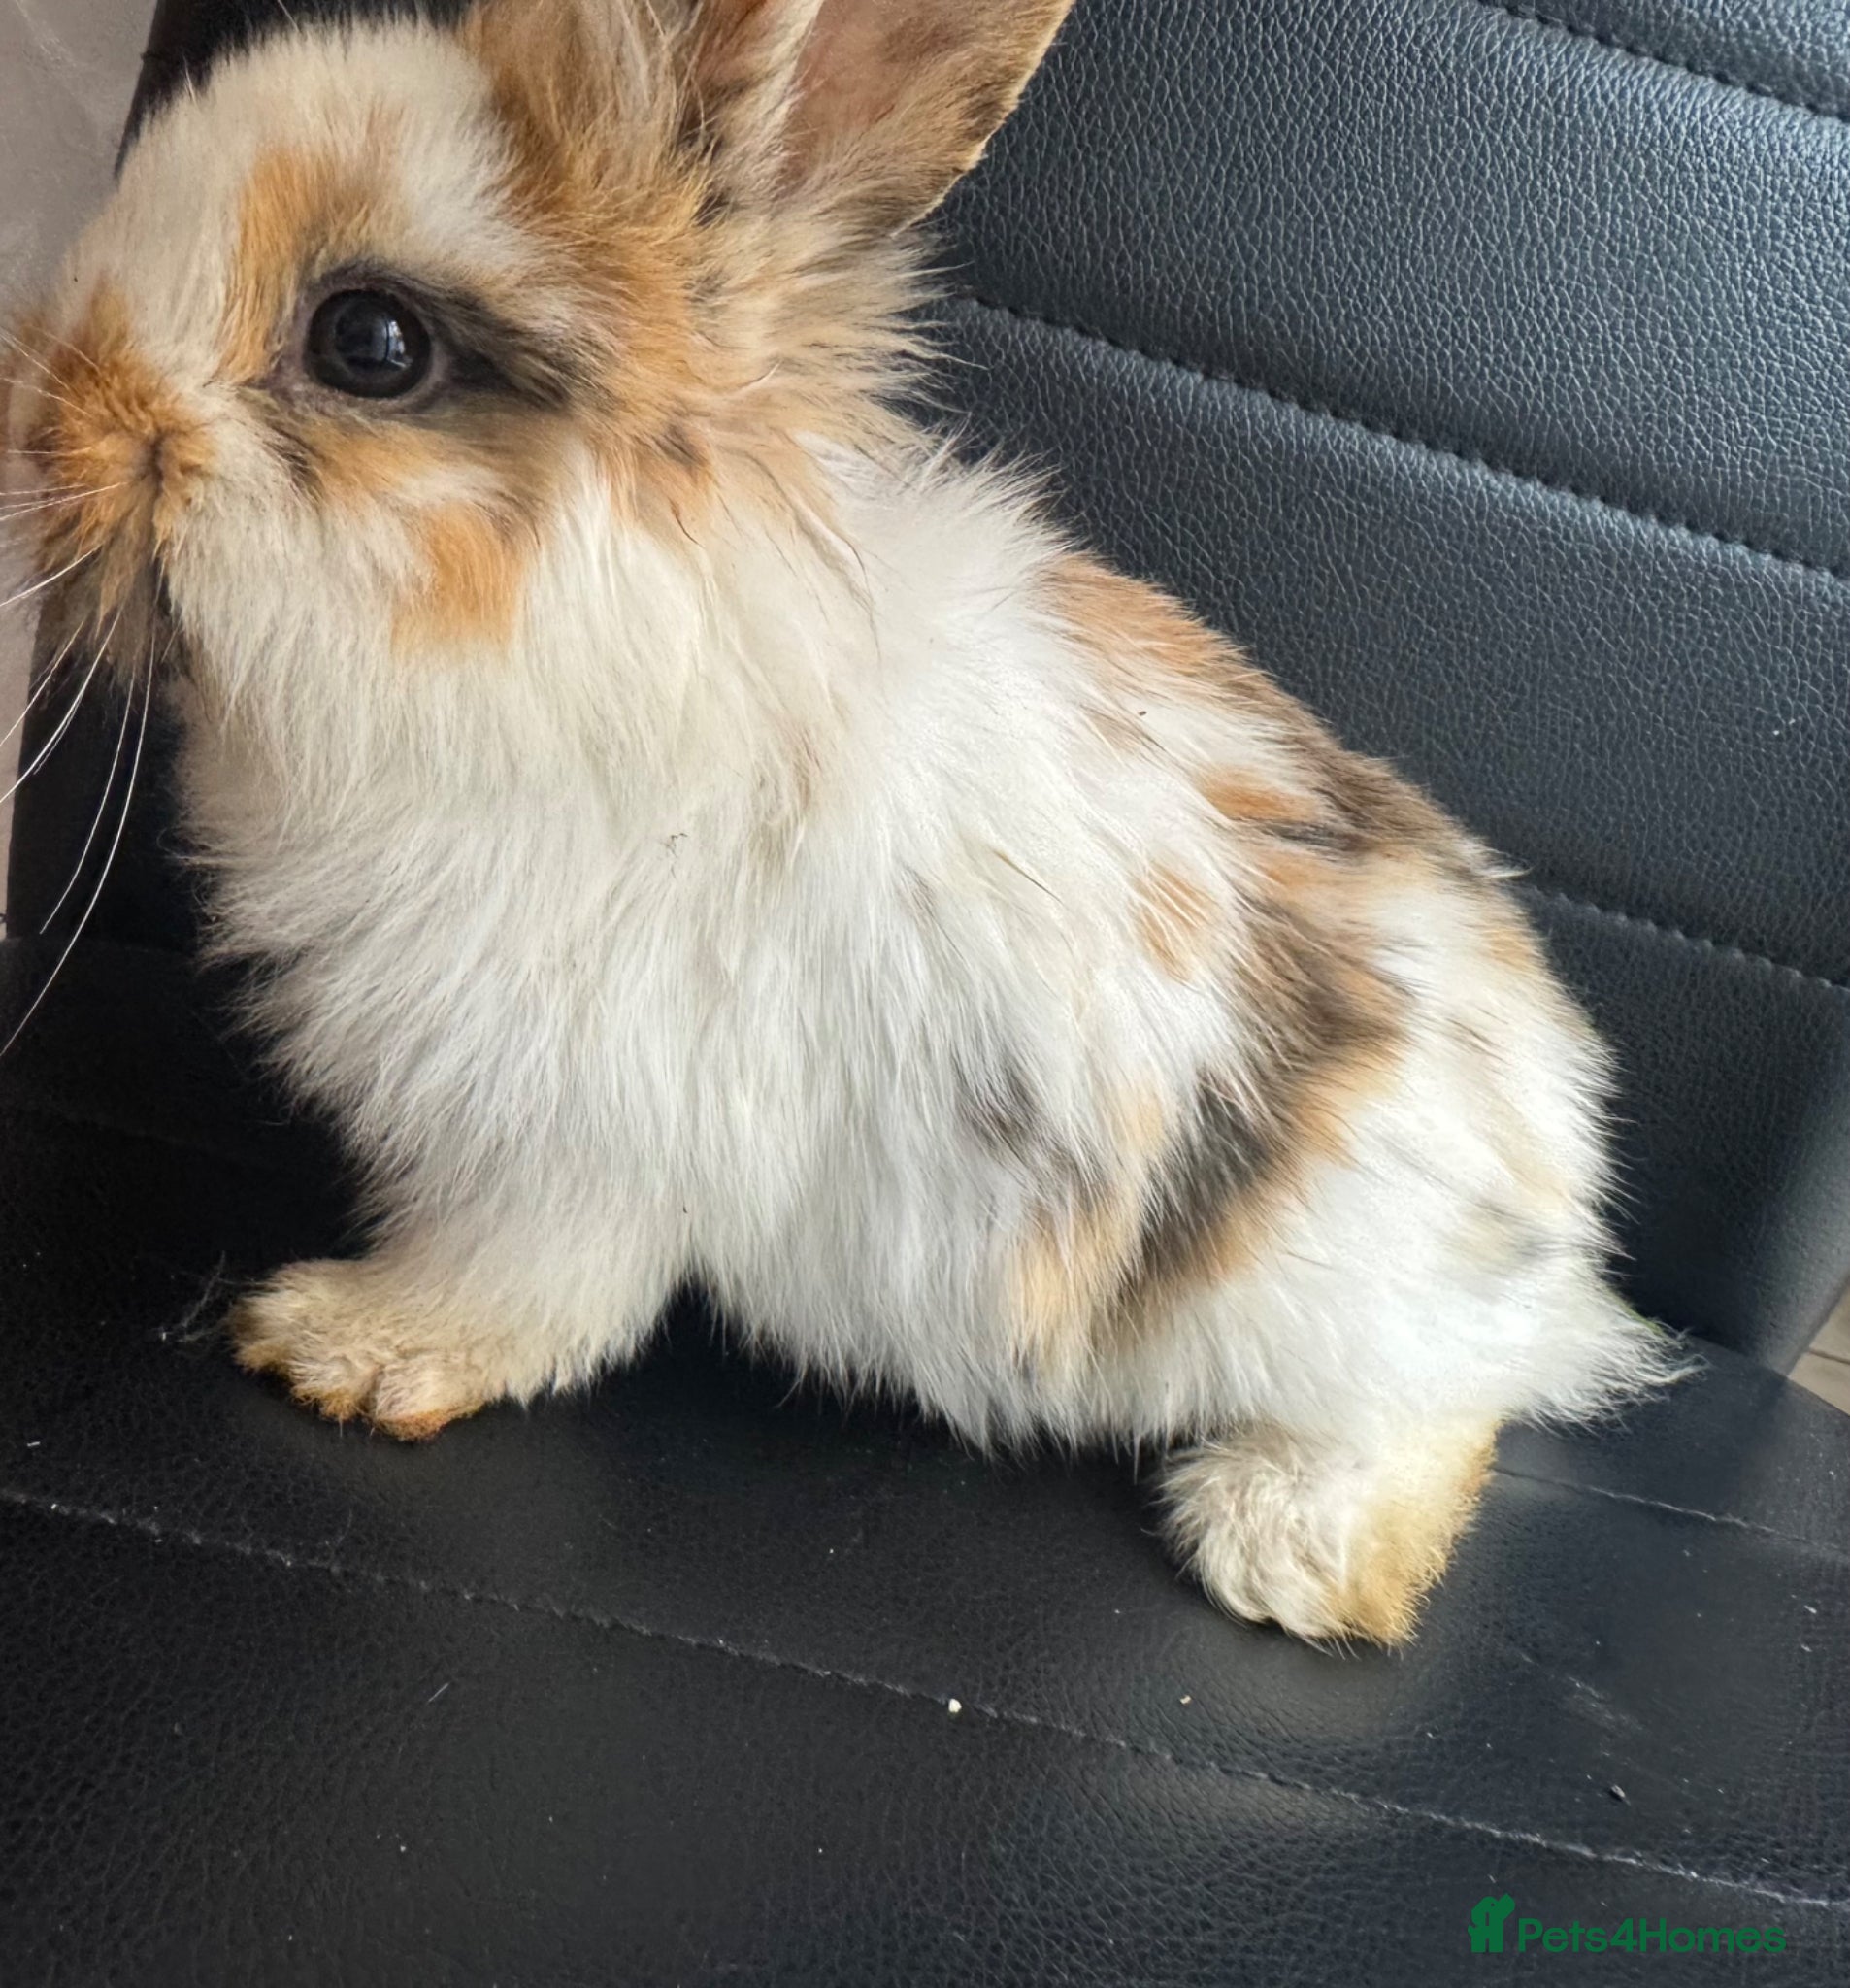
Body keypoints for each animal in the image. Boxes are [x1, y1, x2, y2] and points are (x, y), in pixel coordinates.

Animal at [3, 0, 1686, 1645]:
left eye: (369, 341)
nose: (43, 415)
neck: (579, 665)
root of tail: (1559, 1168)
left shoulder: (566, 1142)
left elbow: (525, 1293)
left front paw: (339, 1345)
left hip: (1331, 1305)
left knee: (1441, 1413)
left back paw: (1285, 1555)